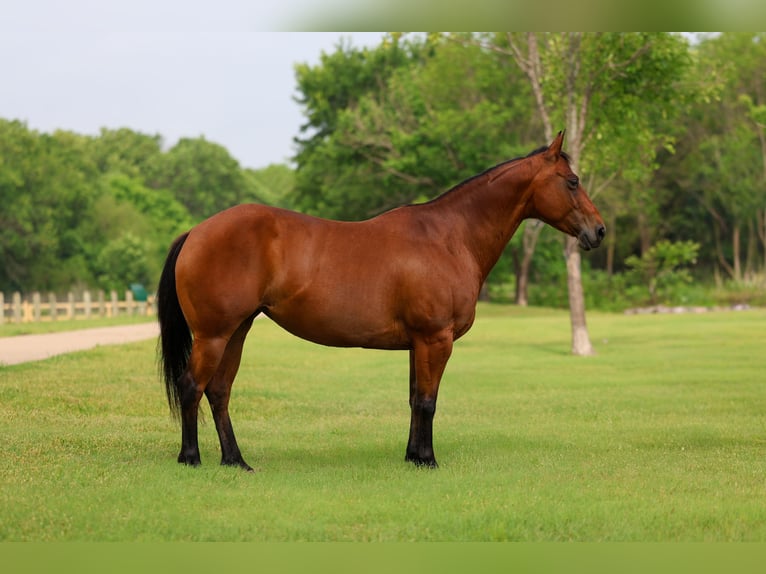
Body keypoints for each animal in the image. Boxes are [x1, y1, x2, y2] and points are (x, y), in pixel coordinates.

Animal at [157, 131, 605, 471]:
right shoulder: (435, 338)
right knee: (192, 386)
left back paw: (235, 461)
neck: (449, 237)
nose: (598, 231)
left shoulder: (418, 343)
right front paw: (428, 460)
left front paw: (412, 457)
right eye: (572, 181)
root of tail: (196, 232)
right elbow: (428, 401)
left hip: (237, 331)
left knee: (219, 391)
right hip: (214, 335)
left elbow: (413, 398)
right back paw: (191, 458)